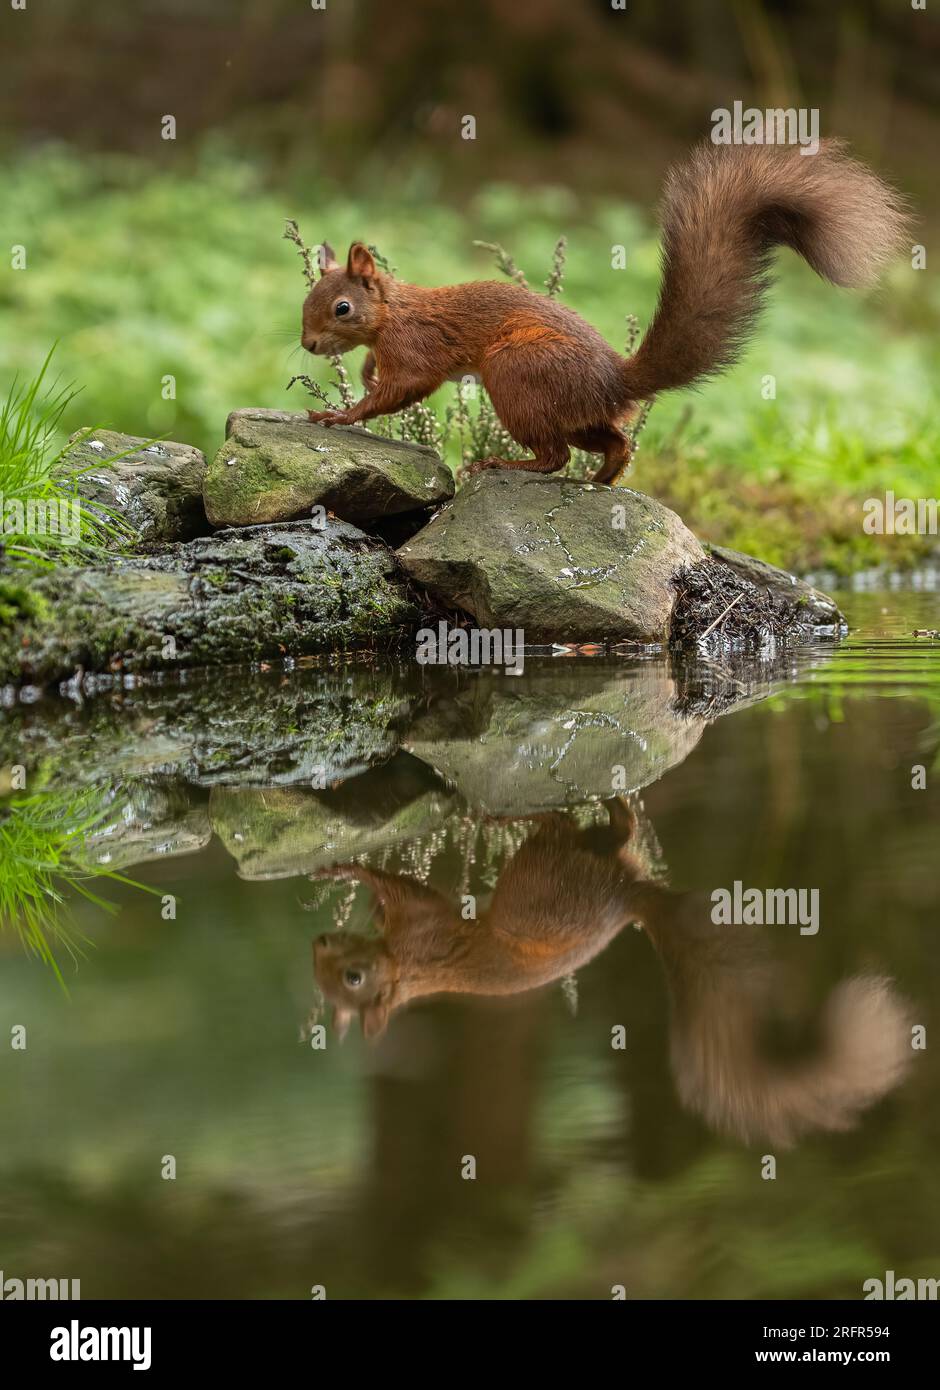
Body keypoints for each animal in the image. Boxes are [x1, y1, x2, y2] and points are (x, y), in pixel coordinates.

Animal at [297, 141, 906, 486]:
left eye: (342, 308)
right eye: (305, 304)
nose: (307, 345)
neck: (392, 311)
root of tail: (614, 379)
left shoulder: (417, 347)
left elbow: (403, 388)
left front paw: (337, 416)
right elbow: (382, 376)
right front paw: (363, 375)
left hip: (516, 374)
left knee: (553, 456)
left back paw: (501, 467)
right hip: (577, 411)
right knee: (612, 441)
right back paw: (608, 476)